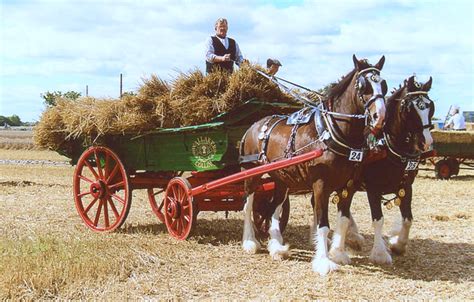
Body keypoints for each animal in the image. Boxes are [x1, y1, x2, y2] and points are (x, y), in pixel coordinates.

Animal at [241, 54, 388, 276]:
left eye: (384, 86)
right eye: (364, 86)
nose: (380, 117)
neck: (331, 132)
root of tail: (254, 125)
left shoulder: (349, 186)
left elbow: (343, 221)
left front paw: (338, 253)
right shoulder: (320, 186)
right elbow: (323, 224)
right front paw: (323, 262)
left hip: (282, 179)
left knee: (273, 207)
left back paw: (277, 246)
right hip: (251, 173)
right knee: (248, 205)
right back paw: (250, 241)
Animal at [332, 75, 436, 266]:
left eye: (430, 106)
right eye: (410, 108)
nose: (426, 142)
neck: (387, 146)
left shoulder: (406, 187)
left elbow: (408, 219)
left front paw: (398, 245)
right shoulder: (373, 189)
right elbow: (378, 219)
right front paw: (380, 253)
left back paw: (352, 236)